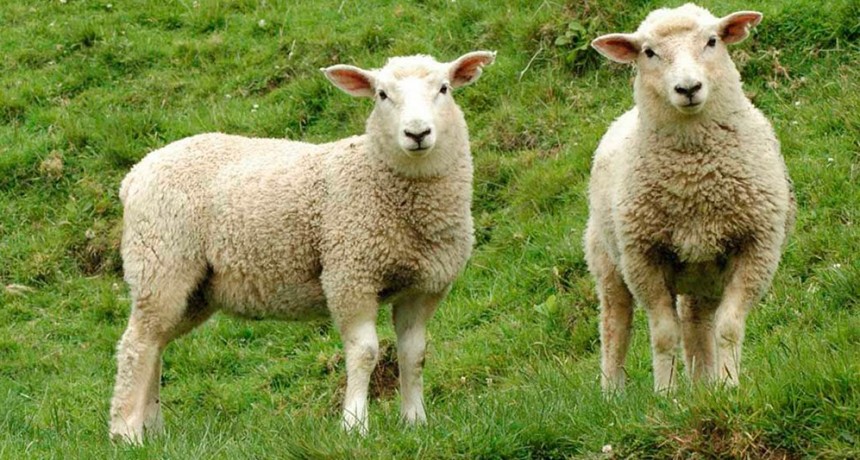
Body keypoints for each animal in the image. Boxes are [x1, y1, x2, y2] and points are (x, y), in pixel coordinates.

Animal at [108, 51, 496, 443]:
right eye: (382, 94)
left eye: (444, 88)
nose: (417, 133)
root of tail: (135, 174)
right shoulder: (349, 275)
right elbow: (365, 352)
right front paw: (354, 425)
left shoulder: (425, 286)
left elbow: (414, 354)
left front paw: (415, 421)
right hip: (161, 263)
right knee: (135, 346)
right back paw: (126, 432)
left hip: (195, 290)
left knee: (155, 344)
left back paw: (152, 430)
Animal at [585, 4, 795, 393]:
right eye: (649, 52)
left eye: (712, 41)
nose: (688, 88)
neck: (695, 178)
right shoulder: (643, 258)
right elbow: (664, 334)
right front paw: (666, 395)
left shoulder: (756, 248)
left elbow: (728, 326)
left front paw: (728, 388)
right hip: (607, 261)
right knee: (614, 325)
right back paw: (612, 394)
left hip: (703, 272)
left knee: (697, 323)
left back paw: (704, 387)